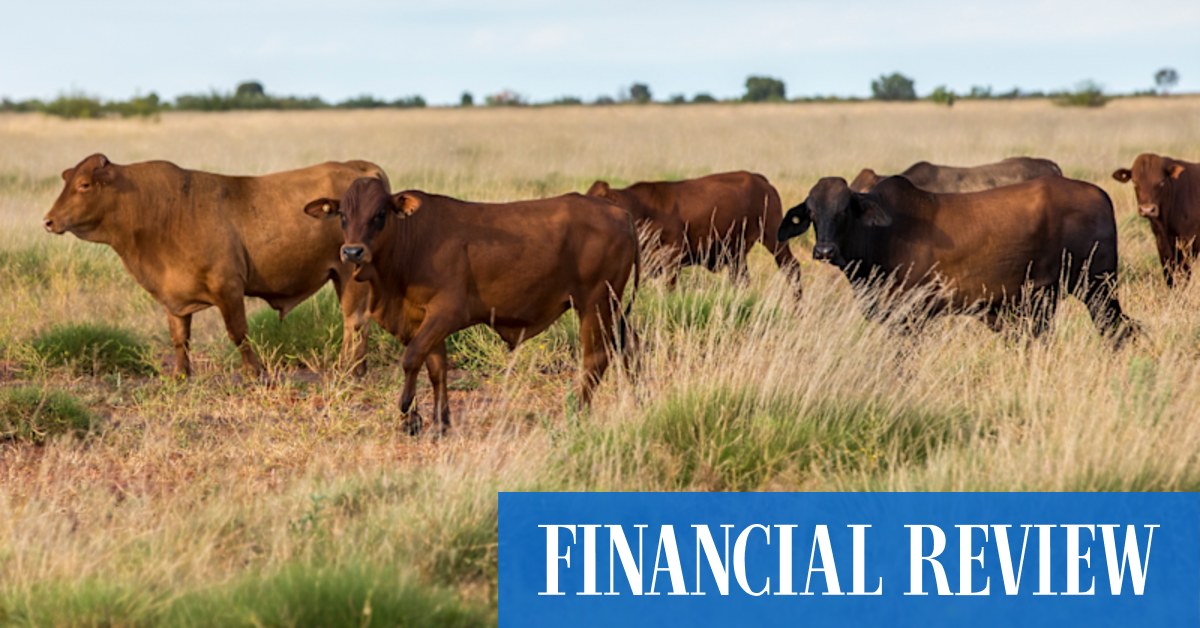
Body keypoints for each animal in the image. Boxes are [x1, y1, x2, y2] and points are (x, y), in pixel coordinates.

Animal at [43, 154, 383, 378]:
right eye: (68, 181)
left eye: (84, 185)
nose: (48, 220)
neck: (161, 210)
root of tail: (355, 166)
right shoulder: (174, 298)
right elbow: (180, 338)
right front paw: (181, 375)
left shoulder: (228, 287)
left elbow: (238, 333)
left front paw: (255, 373)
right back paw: (357, 367)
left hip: (349, 274)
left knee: (354, 321)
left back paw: (348, 369)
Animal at [303, 177, 640, 434]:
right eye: (343, 216)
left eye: (380, 214)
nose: (352, 252)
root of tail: (619, 213)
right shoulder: (422, 320)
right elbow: (436, 368)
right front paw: (439, 422)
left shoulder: (446, 313)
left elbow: (411, 359)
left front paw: (407, 413)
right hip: (613, 307)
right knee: (629, 347)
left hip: (595, 304)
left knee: (596, 358)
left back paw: (578, 413)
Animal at [585, 171, 801, 293]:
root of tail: (760, 179)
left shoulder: (673, 258)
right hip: (736, 254)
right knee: (742, 280)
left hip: (774, 237)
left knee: (792, 268)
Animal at [778, 175, 1137, 344]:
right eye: (812, 213)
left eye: (843, 211)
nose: (824, 251)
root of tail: (1099, 194)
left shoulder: (909, 319)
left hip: (1097, 290)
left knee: (1118, 332)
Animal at [1112, 153, 1199, 287]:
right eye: (1134, 182)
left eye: (1161, 182)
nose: (1147, 209)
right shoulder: (1162, 243)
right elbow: (1169, 274)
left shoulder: (1187, 243)